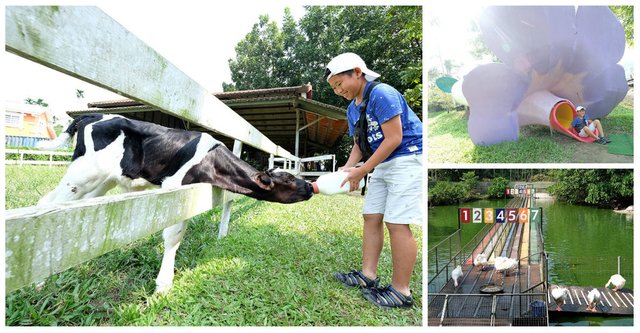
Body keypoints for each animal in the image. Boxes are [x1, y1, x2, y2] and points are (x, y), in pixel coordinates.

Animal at [37, 113, 312, 290]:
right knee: (47, 203)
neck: (213, 160)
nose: (310, 186)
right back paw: (39, 279)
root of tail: (91, 115)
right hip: (82, 174)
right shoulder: (174, 187)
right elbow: (173, 236)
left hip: (102, 181)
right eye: (289, 178)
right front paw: (164, 284)